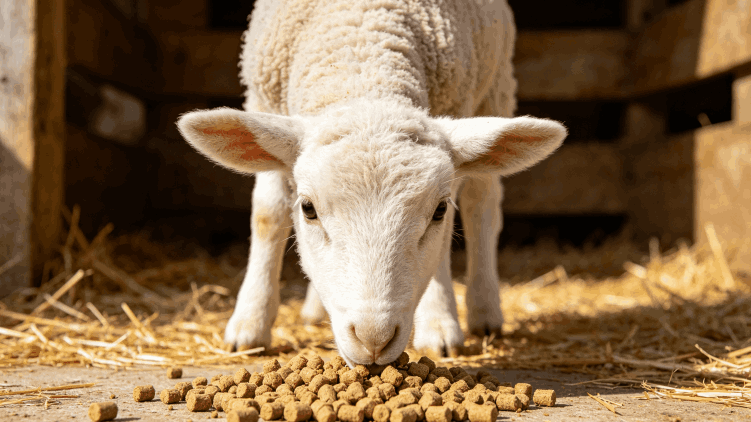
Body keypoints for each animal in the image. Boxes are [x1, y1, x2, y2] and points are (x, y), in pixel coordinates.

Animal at [177, 0, 567, 367]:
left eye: (439, 210)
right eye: (308, 209)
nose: (373, 339)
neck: (361, 57)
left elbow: (447, 239)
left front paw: (439, 325)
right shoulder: (264, 104)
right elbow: (268, 217)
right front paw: (250, 324)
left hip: (496, 84)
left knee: (481, 204)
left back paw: (485, 311)